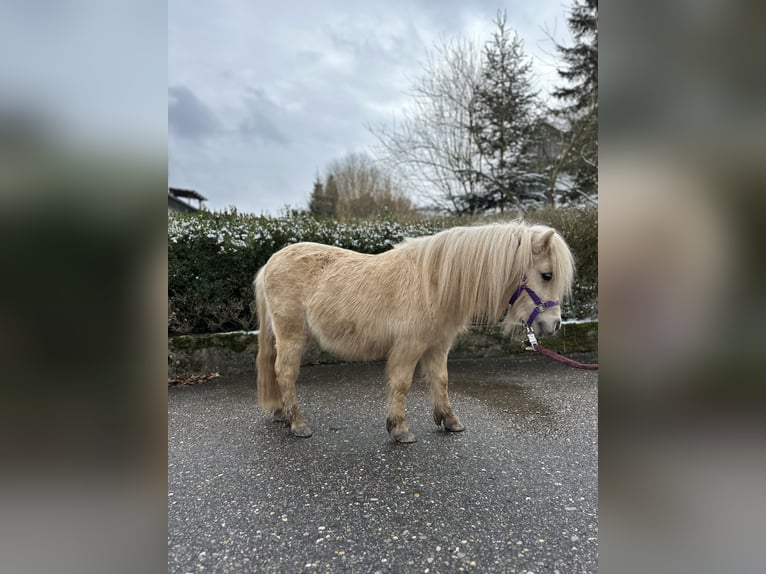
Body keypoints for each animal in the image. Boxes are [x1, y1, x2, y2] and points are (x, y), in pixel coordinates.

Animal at [256, 223, 576, 444]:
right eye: (547, 275)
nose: (554, 324)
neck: (434, 283)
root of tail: (269, 264)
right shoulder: (409, 346)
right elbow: (402, 384)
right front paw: (400, 429)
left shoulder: (438, 345)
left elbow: (441, 380)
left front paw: (449, 420)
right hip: (292, 336)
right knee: (285, 372)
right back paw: (297, 423)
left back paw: (282, 414)